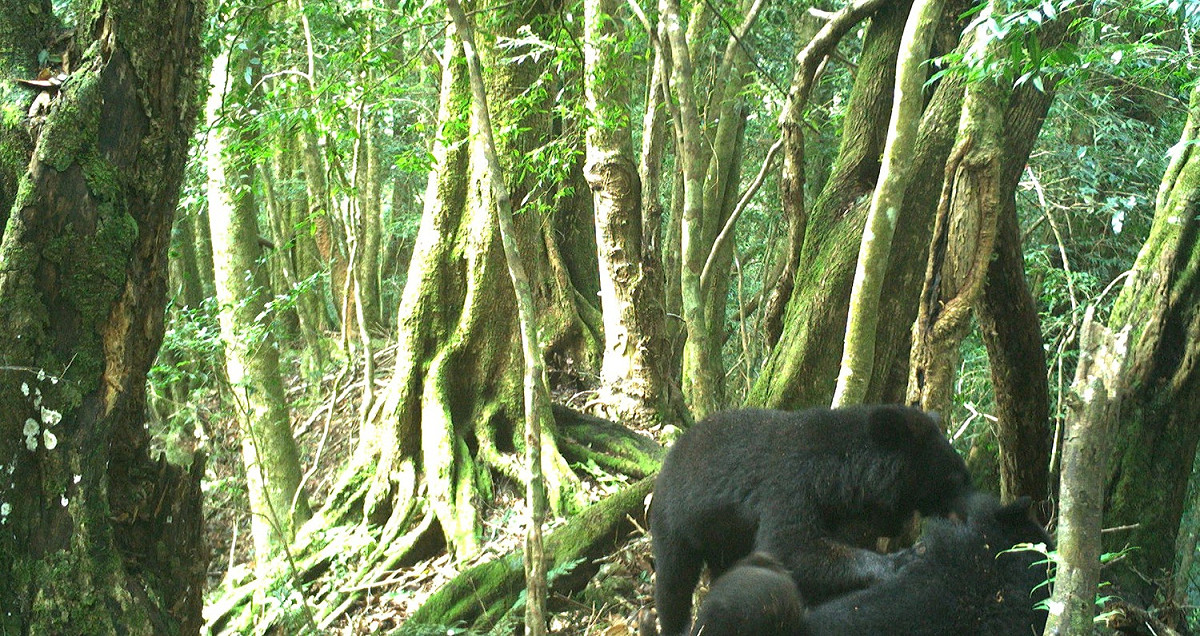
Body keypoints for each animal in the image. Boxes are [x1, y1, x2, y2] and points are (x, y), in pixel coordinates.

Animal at [648, 404, 971, 636]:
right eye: (955, 478)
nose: (968, 509)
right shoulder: (790, 485)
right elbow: (788, 546)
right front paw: (902, 558)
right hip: (674, 521)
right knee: (673, 582)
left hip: (722, 537)